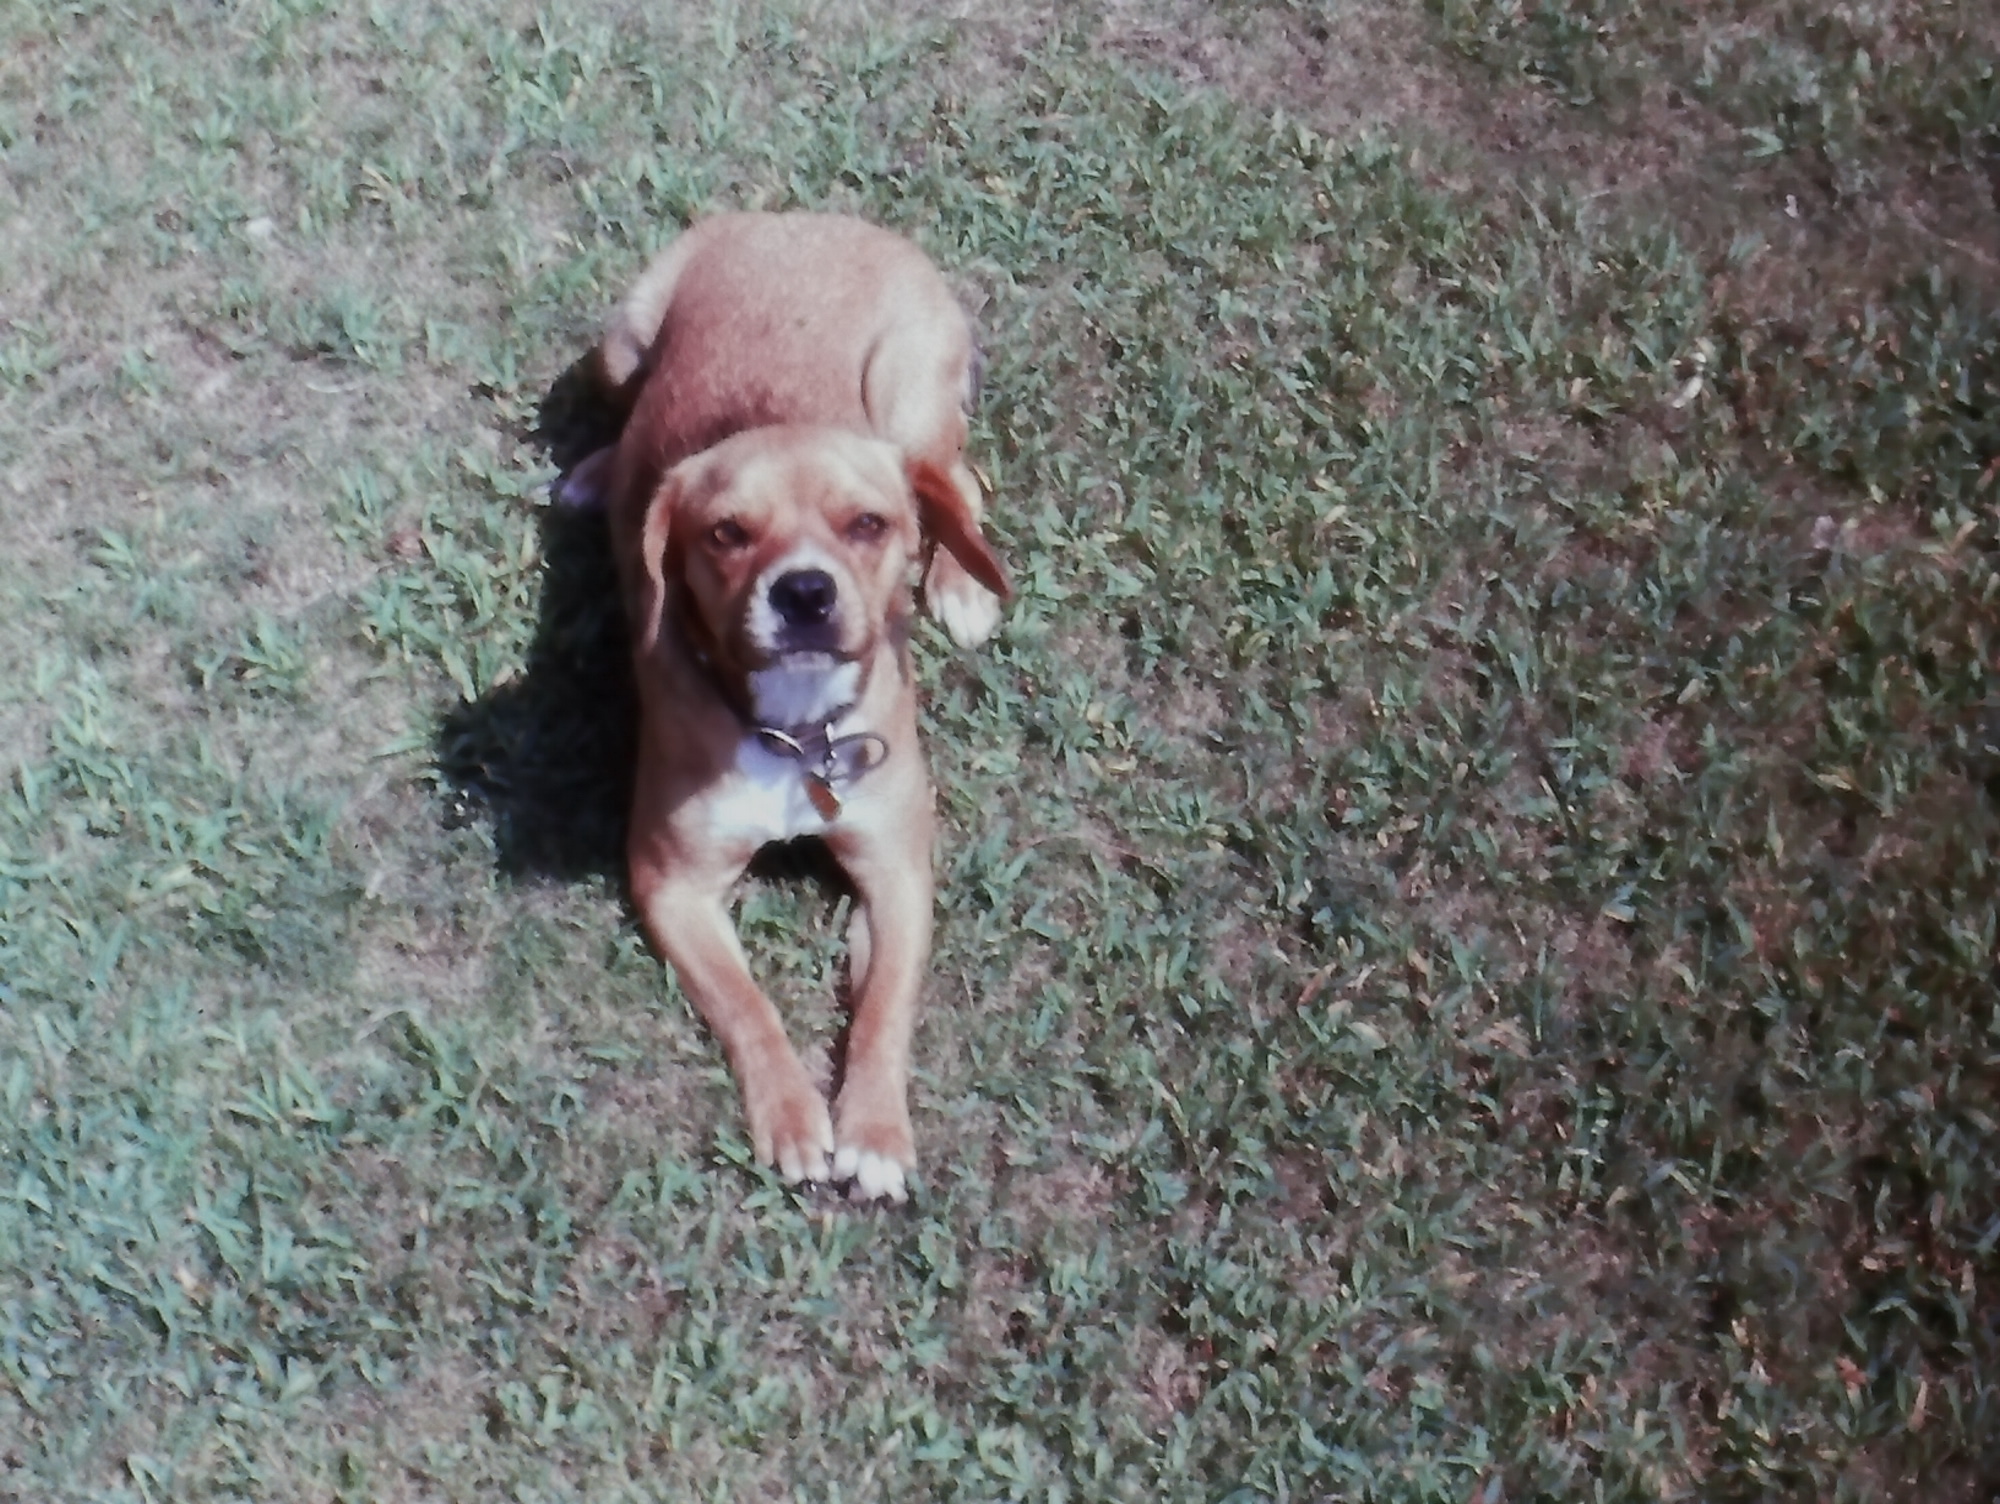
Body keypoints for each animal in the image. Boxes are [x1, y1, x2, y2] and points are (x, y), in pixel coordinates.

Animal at [564, 212, 1008, 1208]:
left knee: (961, 482)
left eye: (867, 524)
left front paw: (874, 1131)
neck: (797, 732)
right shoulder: (673, 882)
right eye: (726, 533)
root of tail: (808, 217)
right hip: (622, 338)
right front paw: (796, 1115)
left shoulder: (897, 870)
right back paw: (595, 472)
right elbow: (746, 1005)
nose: (803, 592)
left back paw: (962, 584)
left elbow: (883, 1012)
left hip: (909, 393)